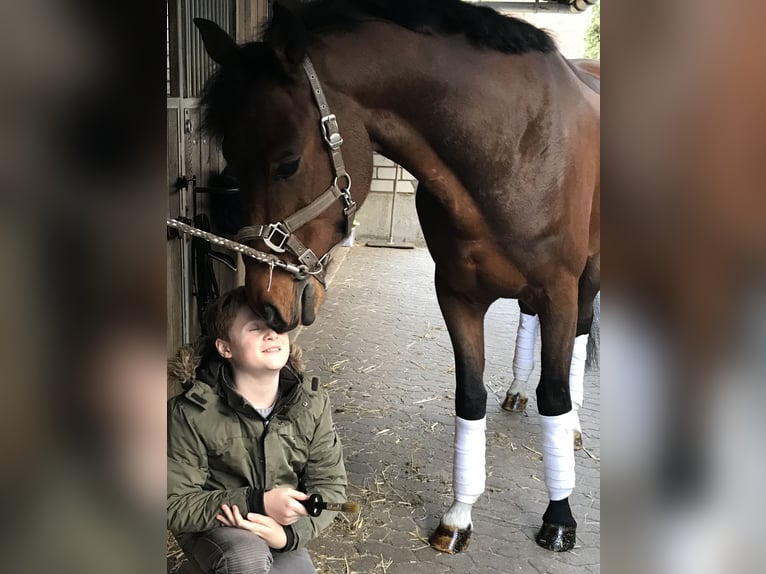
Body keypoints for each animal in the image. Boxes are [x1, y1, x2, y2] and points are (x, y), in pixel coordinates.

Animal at [192, 0, 600, 560]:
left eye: (288, 162)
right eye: (232, 160)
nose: (267, 303)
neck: (514, 148)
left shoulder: (559, 289)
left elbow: (555, 395)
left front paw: (559, 518)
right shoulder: (457, 295)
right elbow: (470, 398)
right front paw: (458, 516)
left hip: (589, 277)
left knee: (578, 341)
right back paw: (516, 392)